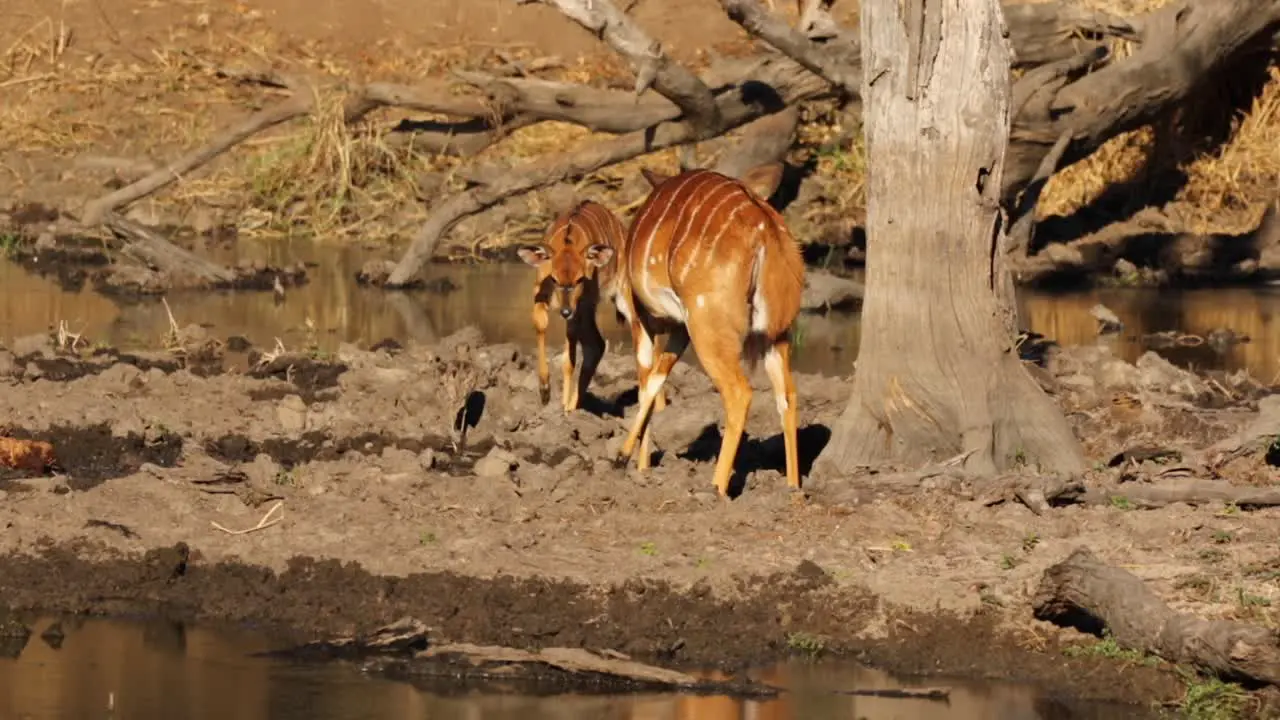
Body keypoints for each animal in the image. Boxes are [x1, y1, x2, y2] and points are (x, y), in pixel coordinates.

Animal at [606, 163, 798, 497]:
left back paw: (715, 488)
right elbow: (658, 379)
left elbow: (645, 383)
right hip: (775, 333)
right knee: (787, 395)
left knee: (739, 393)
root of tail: (765, 232)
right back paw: (792, 488)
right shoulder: (680, 329)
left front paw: (630, 461)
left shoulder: (640, 317)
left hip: (707, 324)